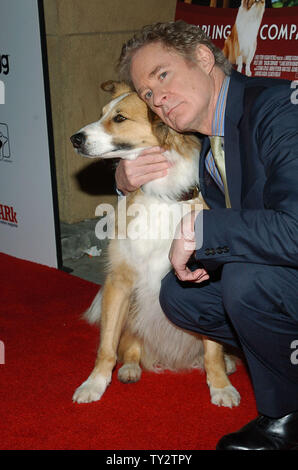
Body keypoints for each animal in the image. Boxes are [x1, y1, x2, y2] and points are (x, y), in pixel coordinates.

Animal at [70, 81, 240, 408]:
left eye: (119, 118)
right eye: (102, 114)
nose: (75, 139)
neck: (161, 194)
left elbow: (212, 350)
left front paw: (220, 385)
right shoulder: (119, 283)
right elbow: (106, 347)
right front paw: (95, 383)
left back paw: (225, 364)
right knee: (129, 346)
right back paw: (131, 367)